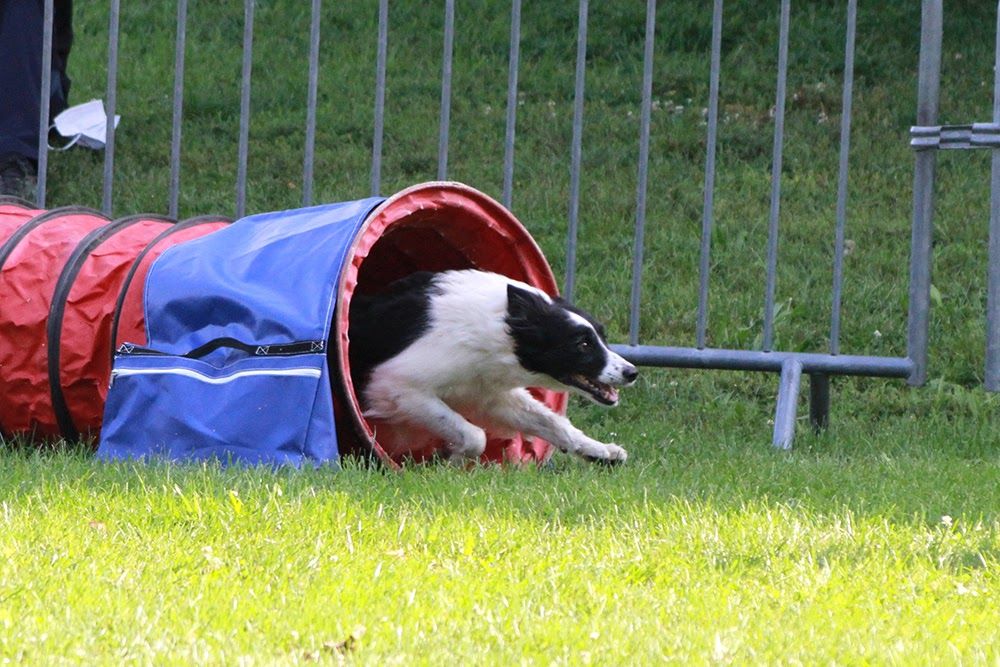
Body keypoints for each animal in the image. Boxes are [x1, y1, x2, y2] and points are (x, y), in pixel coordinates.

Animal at [348, 270, 636, 464]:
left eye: (602, 337)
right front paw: (451, 460)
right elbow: (475, 435)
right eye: (583, 344)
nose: (632, 372)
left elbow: (553, 422)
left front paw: (601, 451)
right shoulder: (396, 384)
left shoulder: (488, 394)